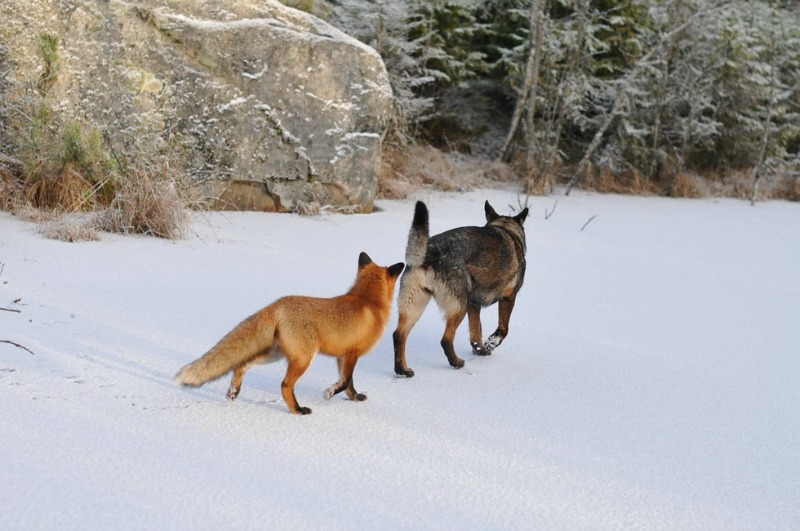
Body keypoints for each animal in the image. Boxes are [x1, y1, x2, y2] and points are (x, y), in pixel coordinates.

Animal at [392, 201, 528, 378]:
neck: (506, 229)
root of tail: (429, 253)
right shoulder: (508, 298)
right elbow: (503, 329)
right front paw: (491, 343)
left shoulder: (473, 304)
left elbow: (476, 332)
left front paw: (480, 350)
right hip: (458, 308)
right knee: (446, 339)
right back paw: (456, 362)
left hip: (414, 306)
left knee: (398, 335)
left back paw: (402, 370)